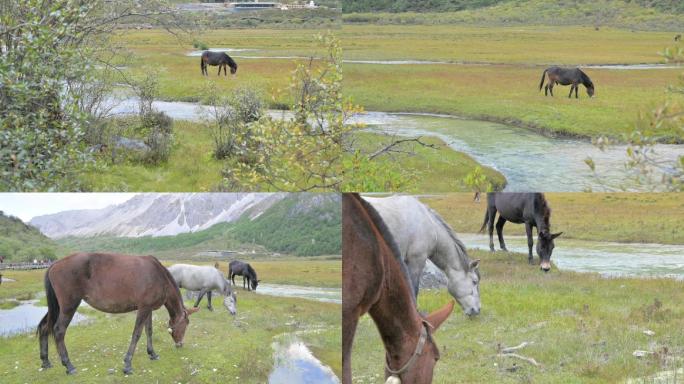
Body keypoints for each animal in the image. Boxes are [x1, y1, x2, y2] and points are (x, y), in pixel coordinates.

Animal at [37, 252, 199, 376]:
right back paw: (68, 365)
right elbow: (137, 334)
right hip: (68, 306)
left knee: (45, 327)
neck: (158, 275)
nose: (180, 344)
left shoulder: (148, 309)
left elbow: (149, 331)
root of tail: (54, 264)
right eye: (186, 324)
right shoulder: (143, 308)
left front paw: (152, 353)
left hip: (57, 307)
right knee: (59, 330)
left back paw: (45, 361)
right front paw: (127, 364)